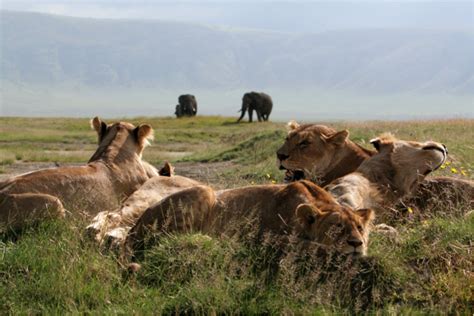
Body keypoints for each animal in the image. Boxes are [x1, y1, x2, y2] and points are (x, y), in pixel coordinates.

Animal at [124, 179, 376, 262]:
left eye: (360, 228)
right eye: (336, 227)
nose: (357, 244)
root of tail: (132, 229)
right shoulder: (268, 238)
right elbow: (313, 246)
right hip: (205, 191)